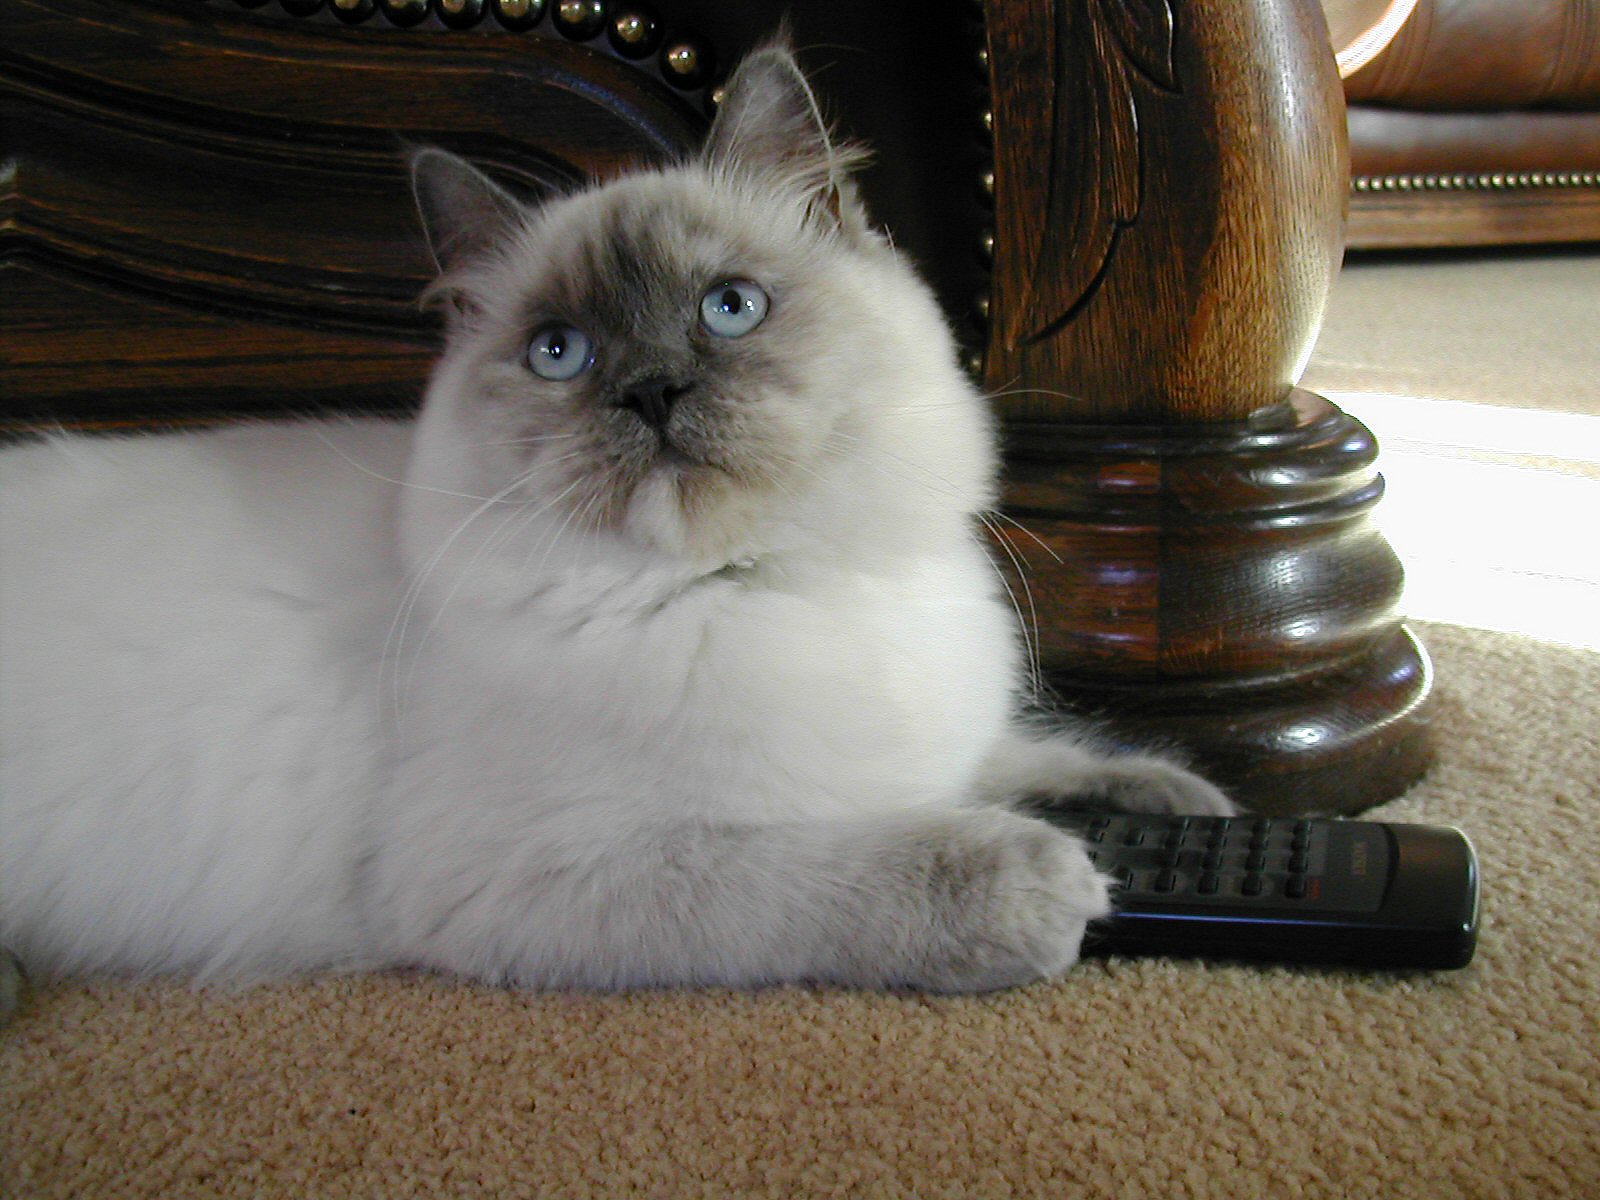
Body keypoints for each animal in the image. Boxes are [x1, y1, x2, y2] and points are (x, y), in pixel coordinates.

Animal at [0, 40, 1228, 998]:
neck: (758, 580)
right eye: (561, 353)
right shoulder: (560, 869)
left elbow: (1022, 755)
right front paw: (1049, 883)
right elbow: (837, 865)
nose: (650, 392)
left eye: (729, 309)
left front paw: (1186, 806)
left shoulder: (934, 738)